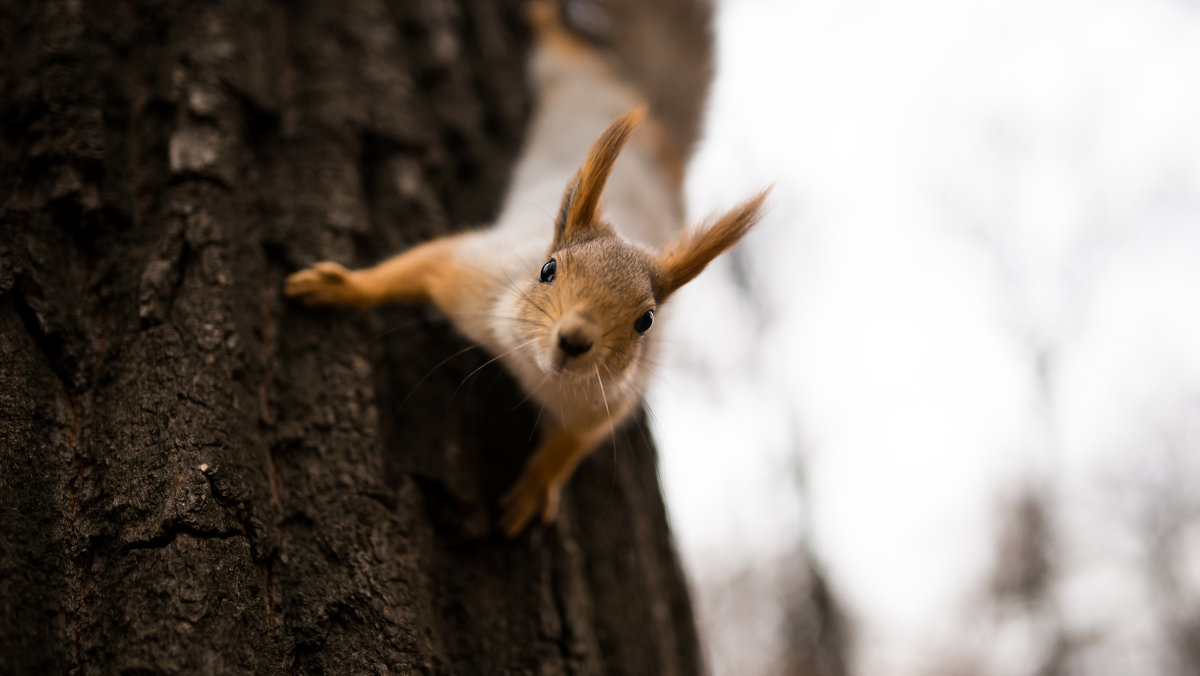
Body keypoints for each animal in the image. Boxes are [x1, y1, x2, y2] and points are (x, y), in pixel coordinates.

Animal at [285, 1, 763, 540]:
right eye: (548, 270)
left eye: (647, 321)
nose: (574, 340)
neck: (531, 367)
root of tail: (655, 126)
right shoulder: (475, 275)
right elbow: (419, 266)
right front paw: (342, 286)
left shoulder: (607, 400)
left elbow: (571, 445)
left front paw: (537, 486)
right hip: (570, 74)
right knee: (567, 48)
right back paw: (545, 17)